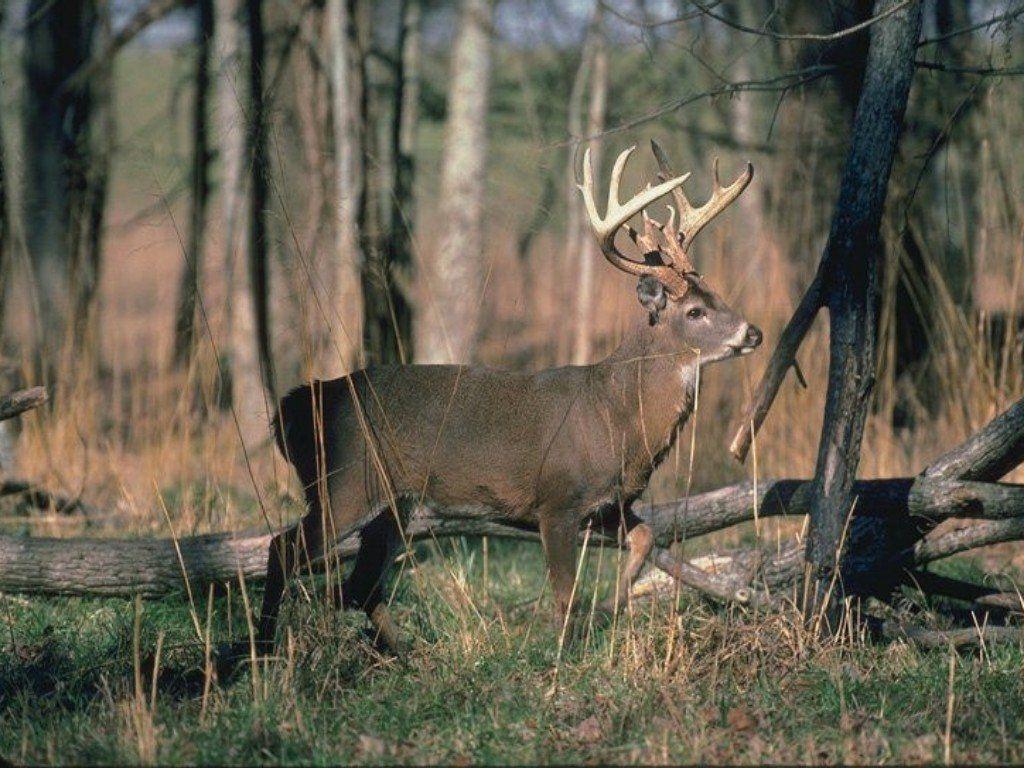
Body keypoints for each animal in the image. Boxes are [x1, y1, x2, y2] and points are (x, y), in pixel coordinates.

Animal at [253, 141, 762, 656]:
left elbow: (645, 539)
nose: (753, 332)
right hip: (344, 483)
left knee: (357, 585)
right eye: (694, 311)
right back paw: (263, 647)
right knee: (284, 549)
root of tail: (293, 407)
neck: (615, 416)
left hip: (396, 505)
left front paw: (610, 608)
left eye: (715, 293)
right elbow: (564, 594)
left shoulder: (610, 505)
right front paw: (563, 656)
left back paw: (403, 655)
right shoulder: (557, 500)